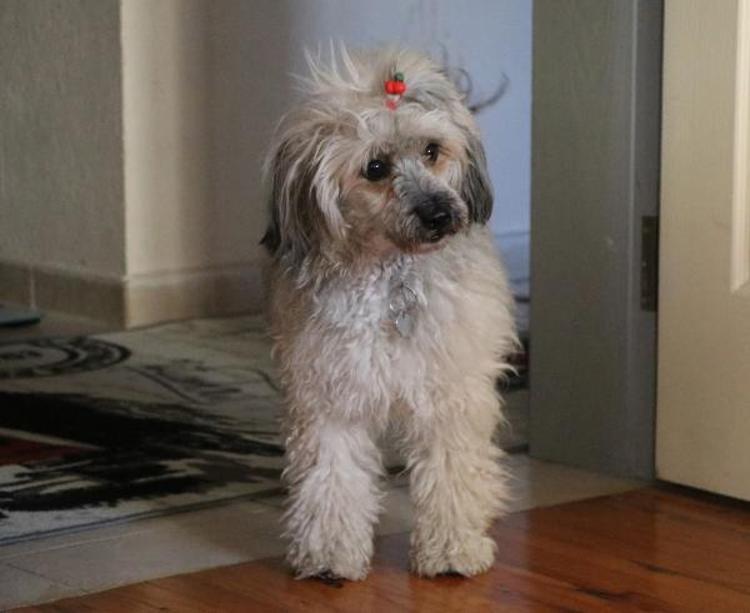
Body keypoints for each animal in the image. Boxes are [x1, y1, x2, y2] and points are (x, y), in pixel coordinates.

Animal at [261, 47, 517, 581]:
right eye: (375, 167)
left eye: (432, 150)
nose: (440, 214)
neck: (391, 276)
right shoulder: (330, 395)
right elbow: (330, 479)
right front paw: (329, 553)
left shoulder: (449, 394)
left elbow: (450, 474)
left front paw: (451, 550)